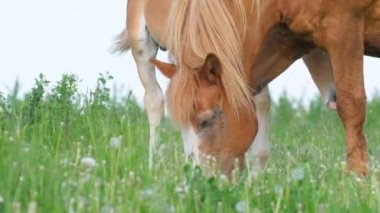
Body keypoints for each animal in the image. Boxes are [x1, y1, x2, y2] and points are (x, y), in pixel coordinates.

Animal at [164, 0, 380, 176]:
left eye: (206, 121)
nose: (200, 181)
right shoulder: (287, 42)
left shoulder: (344, 30)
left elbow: (351, 106)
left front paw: (357, 176)